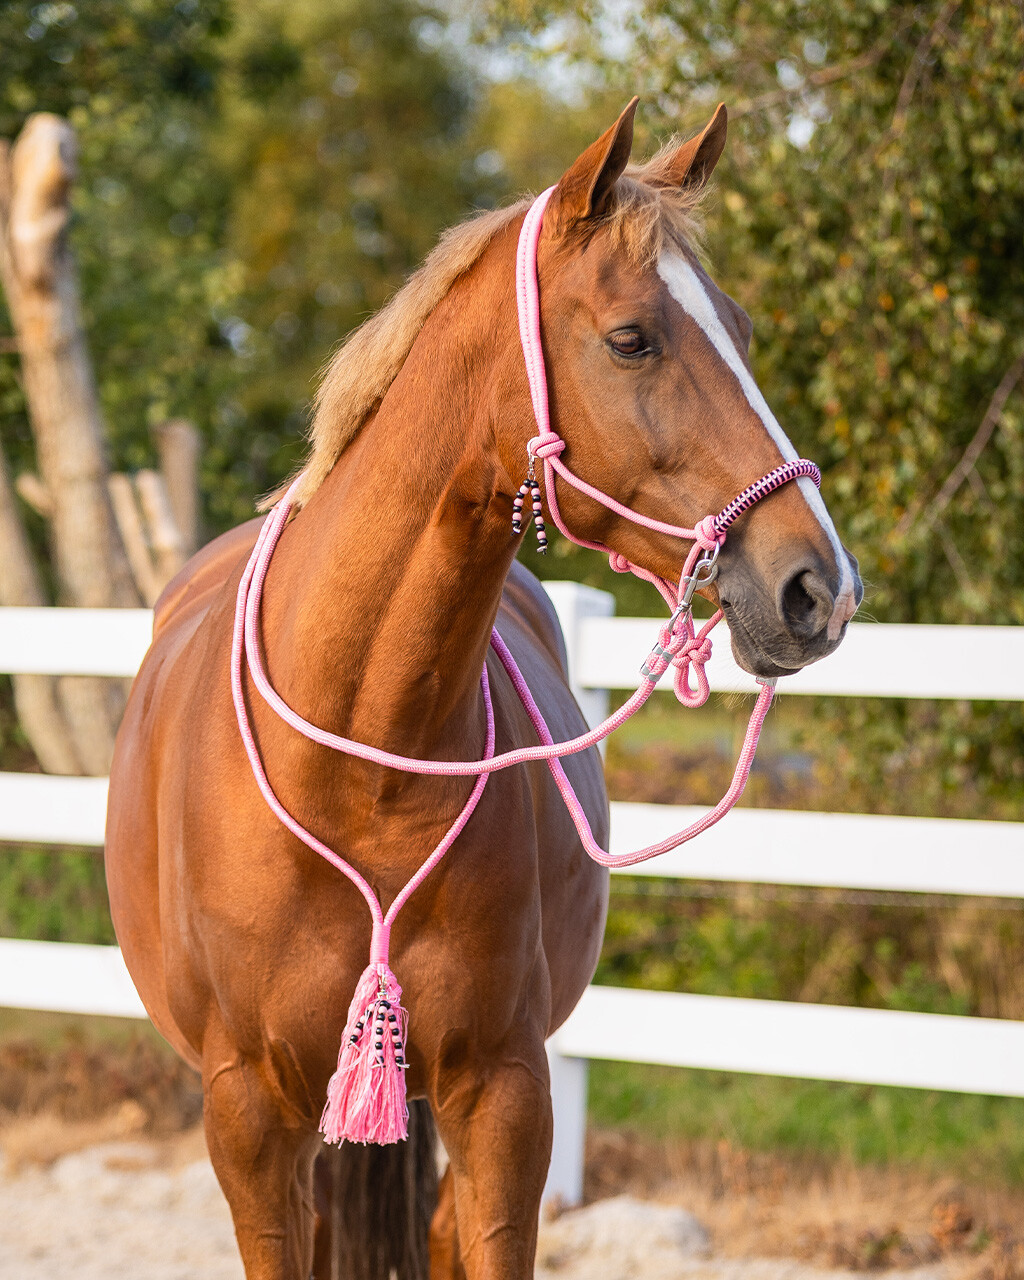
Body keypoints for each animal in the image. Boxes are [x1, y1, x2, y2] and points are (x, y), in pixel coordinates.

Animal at [105, 98, 862, 1280]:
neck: (359, 766)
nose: (816, 585)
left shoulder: (505, 1092)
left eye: (739, 330)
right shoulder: (246, 1116)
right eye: (632, 338)